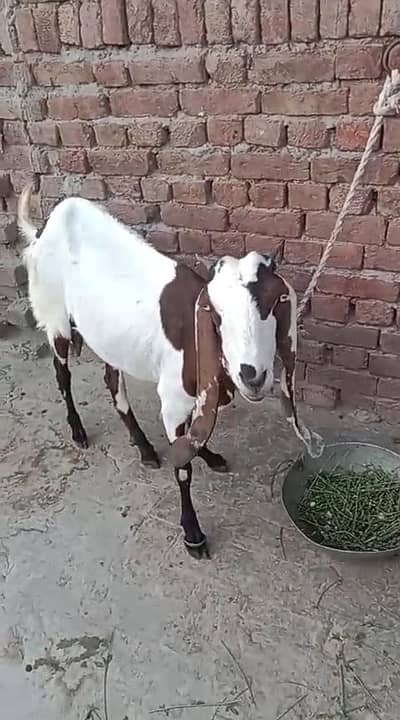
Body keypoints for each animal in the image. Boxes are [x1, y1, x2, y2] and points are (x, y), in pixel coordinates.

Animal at [18, 186, 323, 559]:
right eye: (217, 315)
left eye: (274, 302)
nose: (252, 374)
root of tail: (46, 226)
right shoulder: (173, 399)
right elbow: (183, 470)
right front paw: (193, 535)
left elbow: (192, 435)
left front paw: (207, 454)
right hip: (56, 317)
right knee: (63, 376)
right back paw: (78, 432)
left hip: (108, 337)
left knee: (112, 382)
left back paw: (145, 449)